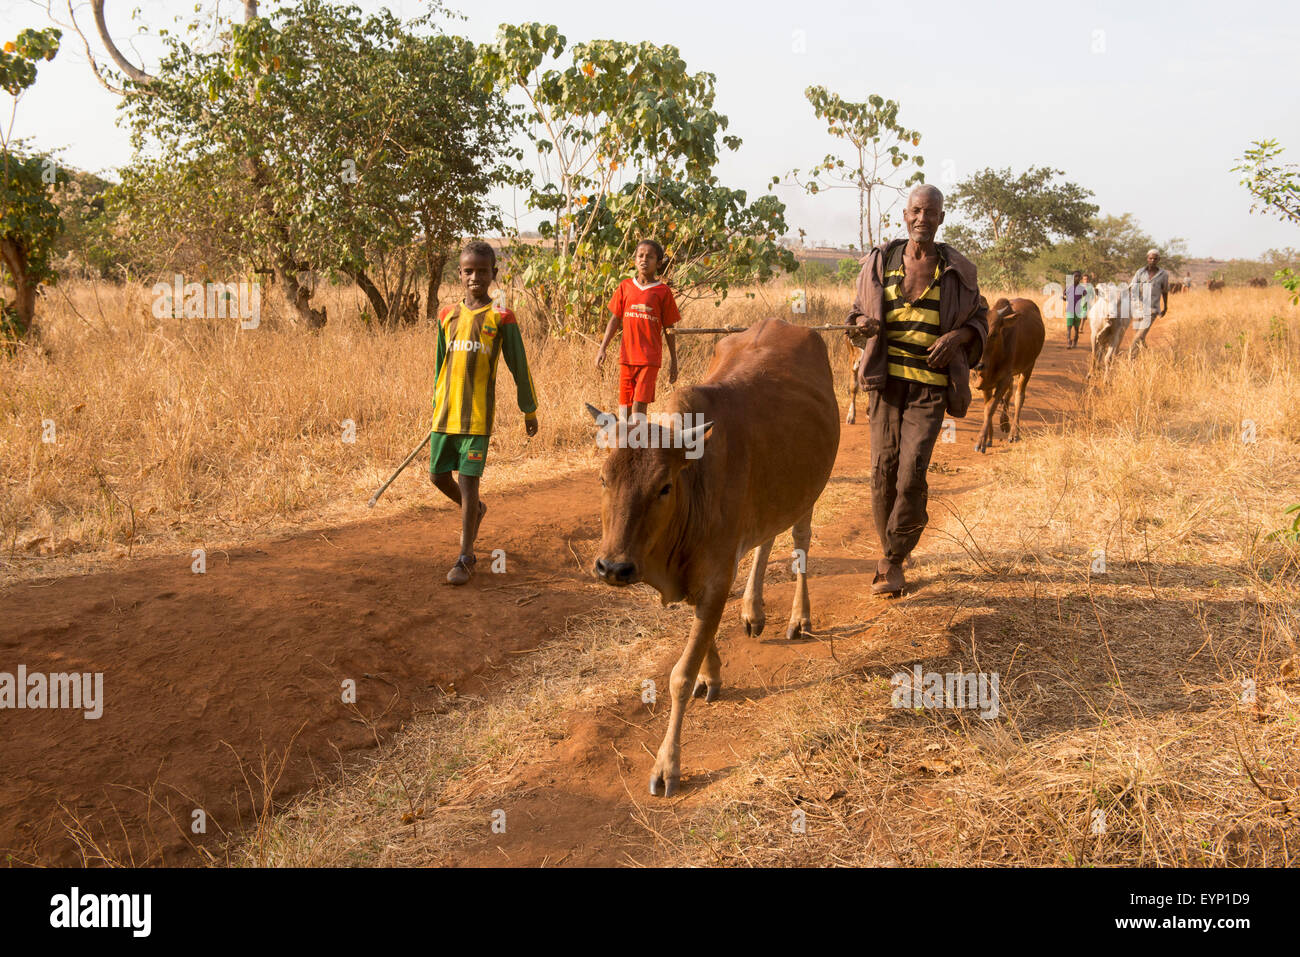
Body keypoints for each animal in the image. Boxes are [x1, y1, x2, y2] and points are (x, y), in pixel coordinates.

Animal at [587, 317, 837, 795]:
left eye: (664, 487)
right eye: (603, 478)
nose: (612, 567)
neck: (695, 481)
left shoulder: (718, 574)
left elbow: (679, 677)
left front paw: (667, 765)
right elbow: (700, 637)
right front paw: (712, 672)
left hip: (809, 493)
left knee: (800, 543)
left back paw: (799, 617)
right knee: (765, 540)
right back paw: (754, 611)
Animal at [977, 297, 1045, 455]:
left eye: (994, 334)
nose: (978, 364)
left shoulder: (1004, 378)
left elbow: (990, 407)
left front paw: (981, 441)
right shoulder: (985, 381)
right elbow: (988, 405)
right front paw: (989, 437)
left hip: (1028, 366)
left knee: (1019, 396)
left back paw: (1013, 432)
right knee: (1009, 393)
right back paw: (1004, 423)